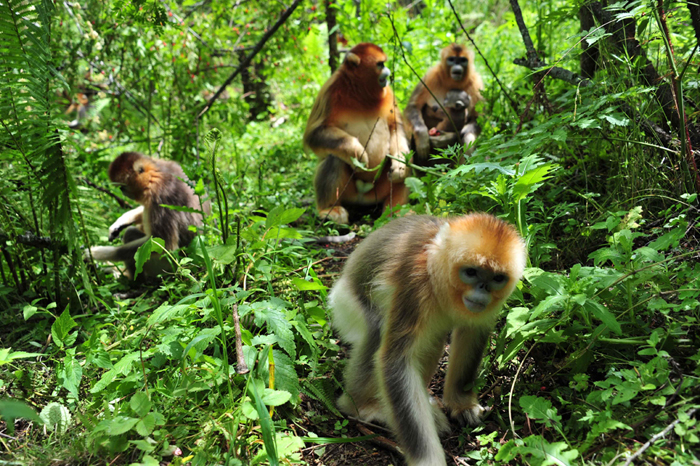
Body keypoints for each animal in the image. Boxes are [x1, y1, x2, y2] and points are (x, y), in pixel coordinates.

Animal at [302, 42, 410, 225]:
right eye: (380, 64)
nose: (388, 72)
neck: (361, 94)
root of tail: (363, 192)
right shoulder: (329, 91)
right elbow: (315, 133)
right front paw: (357, 153)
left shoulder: (388, 92)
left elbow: (396, 126)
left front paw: (399, 166)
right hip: (348, 192)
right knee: (334, 158)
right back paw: (328, 210)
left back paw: (396, 213)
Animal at [328, 214, 524, 466]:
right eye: (471, 272)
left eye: (497, 278)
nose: (483, 290)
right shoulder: (415, 284)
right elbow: (395, 361)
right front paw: (428, 459)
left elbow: (472, 332)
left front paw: (461, 404)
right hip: (347, 303)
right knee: (377, 331)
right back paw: (363, 407)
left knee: (432, 341)